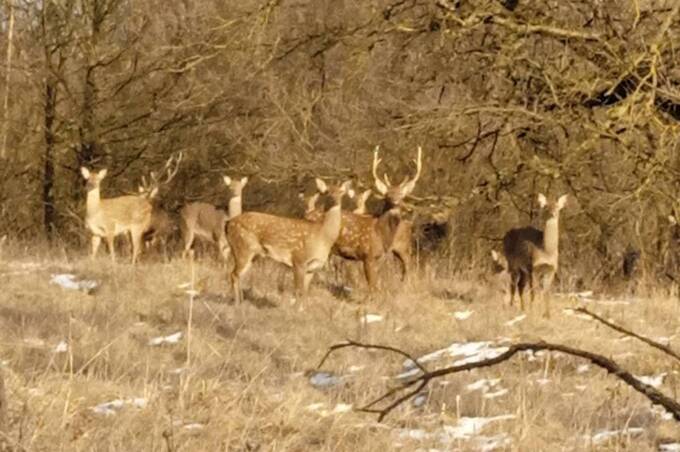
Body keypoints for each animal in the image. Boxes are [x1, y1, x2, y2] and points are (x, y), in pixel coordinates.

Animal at [228, 177, 356, 304]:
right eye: (327, 192)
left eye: (341, 192)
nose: (334, 200)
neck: (323, 237)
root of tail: (227, 224)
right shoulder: (299, 259)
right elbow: (298, 292)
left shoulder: (312, 268)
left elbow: (304, 293)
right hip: (242, 247)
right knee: (234, 274)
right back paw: (237, 304)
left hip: (254, 253)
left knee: (239, 275)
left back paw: (241, 301)